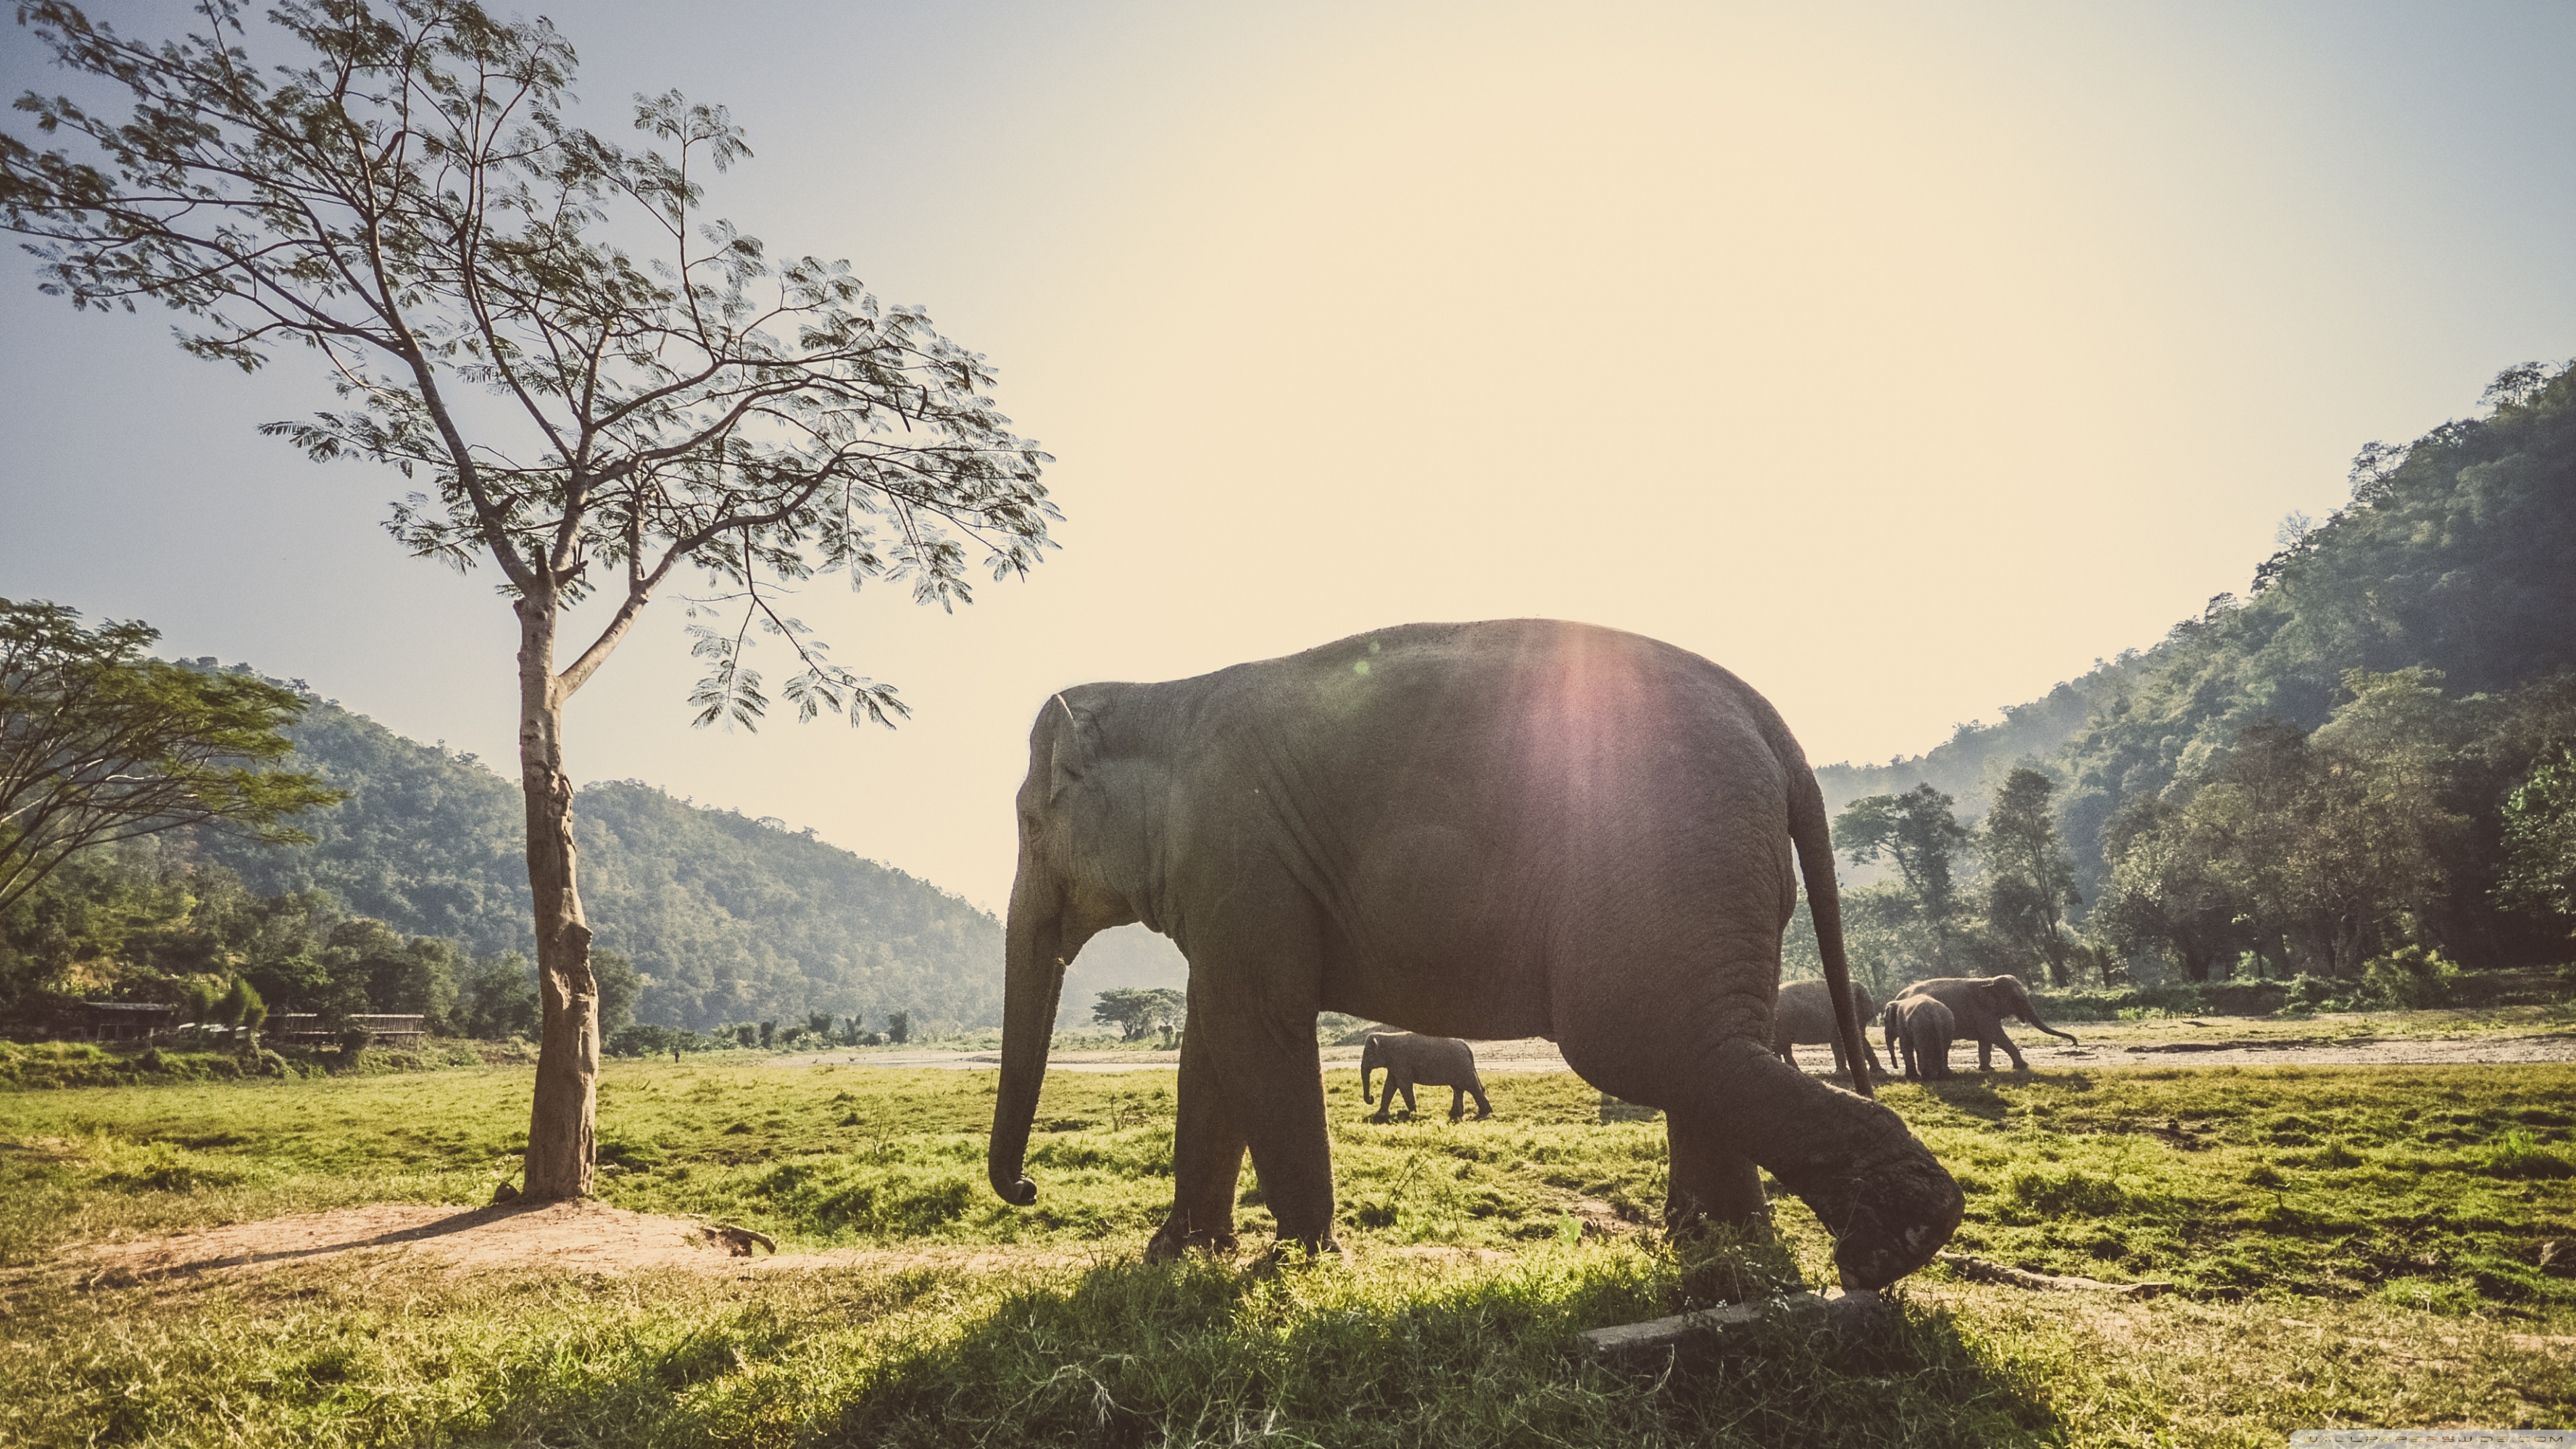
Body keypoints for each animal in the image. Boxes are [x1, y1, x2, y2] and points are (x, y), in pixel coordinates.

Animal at [1361, 1032, 1493, 1122]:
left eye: (1367, 1055)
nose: (1371, 1098)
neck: (1386, 1037)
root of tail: (1467, 1047)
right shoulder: (1395, 1063)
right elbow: (1390, 1085)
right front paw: (1381, 1115)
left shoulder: (1401, 1061)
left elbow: (1403, 1084)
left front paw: (1413, 1114)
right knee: (1458, 1088)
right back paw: (1455, 1114)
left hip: (1462, 1066)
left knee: (1471, 1087)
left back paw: (1485, 1113)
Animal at [1774, 978, 1882, 1079]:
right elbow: (1839, 1042)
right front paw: (1842, 1073)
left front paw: (1879, 1073)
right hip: (1784, 1022)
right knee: (1784, 1047)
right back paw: (1795, 1070)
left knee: (1781, 1046)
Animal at [1891, 974, 2078, 1071]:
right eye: (2017, 999)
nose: (2075, 1043)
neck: (1989, 981)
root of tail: (1897, 996)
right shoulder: (1981, 1012)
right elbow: (1995, 1035)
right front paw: (2023, 1066)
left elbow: (1986, 1040)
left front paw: (1987, 1069)